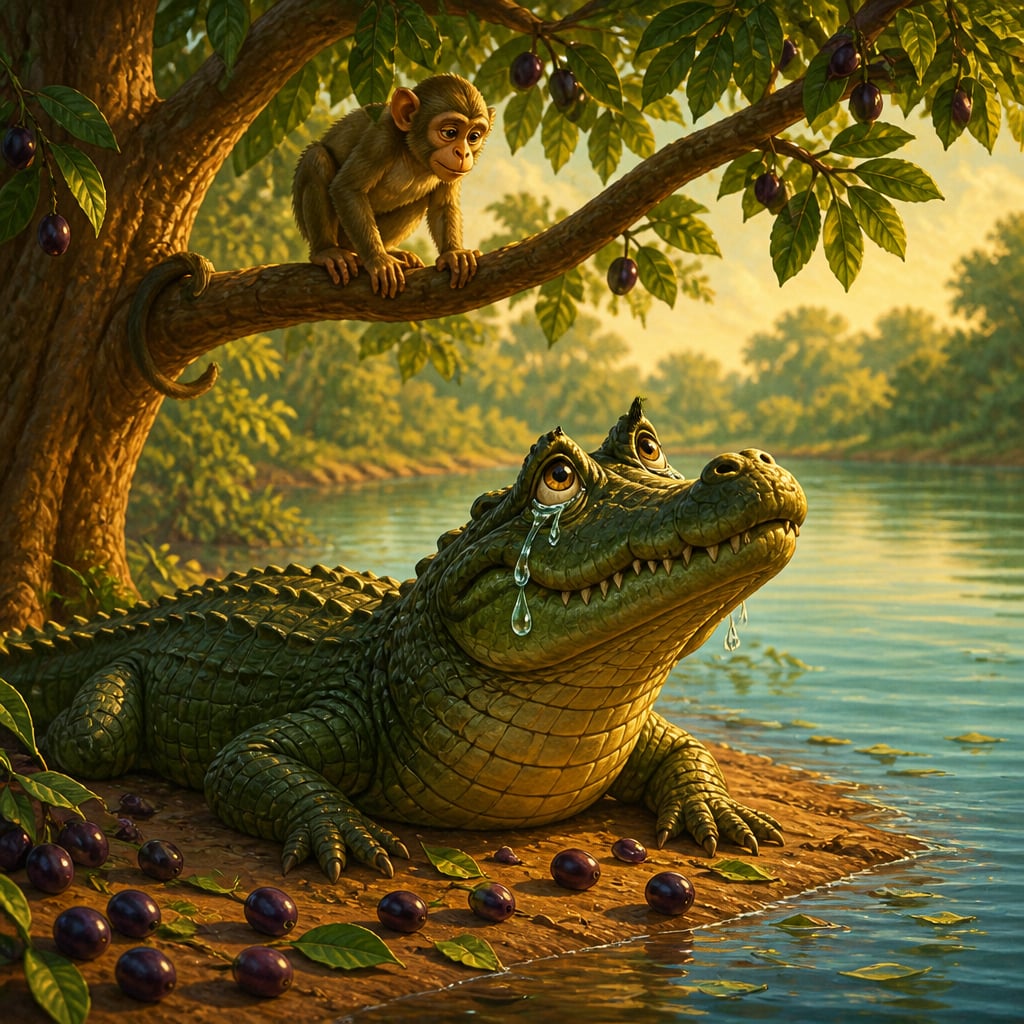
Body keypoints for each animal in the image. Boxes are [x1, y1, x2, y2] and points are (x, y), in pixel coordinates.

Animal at [292, 74, 496, 298]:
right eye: (450, 132)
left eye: (473, 137)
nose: (463, 153)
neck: (413, 154)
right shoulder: (382, 137)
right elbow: (348, 189)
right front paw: (378, 260)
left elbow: (442, 205)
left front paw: (453, 253)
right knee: (316, 158)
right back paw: (327, 251)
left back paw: (390, 250)